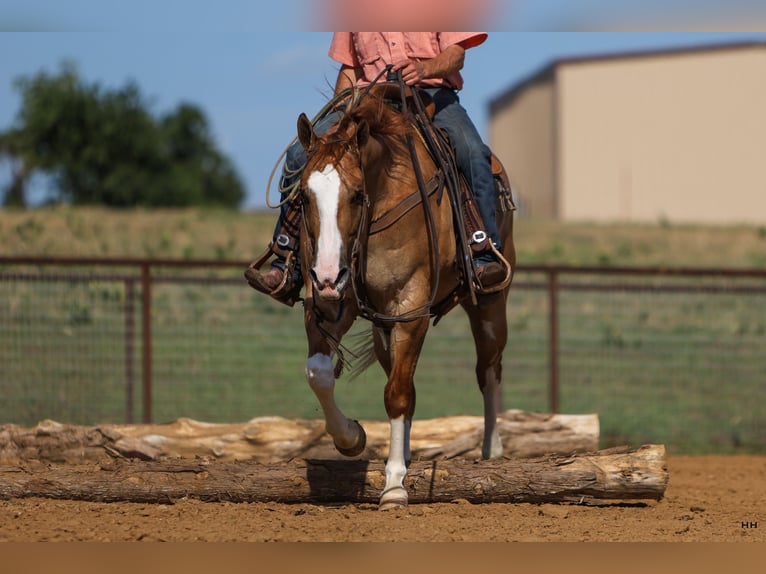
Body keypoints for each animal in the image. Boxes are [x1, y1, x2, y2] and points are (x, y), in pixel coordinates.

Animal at [294, 83, 516, 510]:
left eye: (357, 195)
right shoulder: (329, 304)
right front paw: (352, 438)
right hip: (384, 327)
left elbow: (396, 394)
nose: (327, 275)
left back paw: (492, 450)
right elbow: (320, 373)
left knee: (488, 370)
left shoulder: (410, 308)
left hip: (491, 306)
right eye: (304, 197)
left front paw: (394, 486)